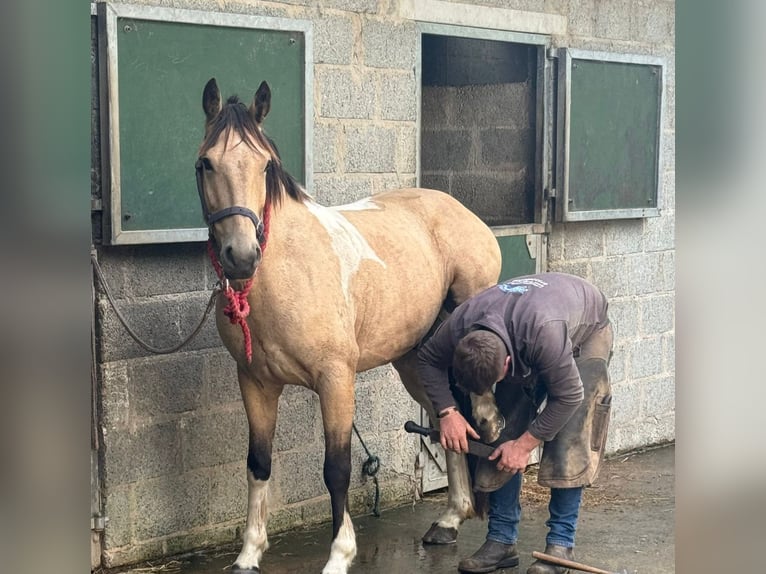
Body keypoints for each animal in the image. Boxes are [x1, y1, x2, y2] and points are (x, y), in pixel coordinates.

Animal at [192, 80, 504, 574]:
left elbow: (335, 469)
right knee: (447, 417)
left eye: (266, 165)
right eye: (206, 162)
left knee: (486, 417)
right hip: (413, 362)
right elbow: (258, 463)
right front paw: (249, 553)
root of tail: (462, 213)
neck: (288, 271)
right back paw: (449, 520)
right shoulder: (255, 382)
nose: (240, 256)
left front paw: (340, 555)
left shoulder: (335, 379)